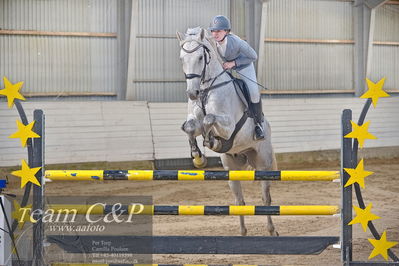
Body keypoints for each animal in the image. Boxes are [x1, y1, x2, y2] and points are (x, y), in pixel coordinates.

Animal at [177, 28, 280, 236]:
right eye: (182, 58)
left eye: (200, 57)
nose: (192, 94)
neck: (207, 89)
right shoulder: (194, 121)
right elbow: (191, 126)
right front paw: (198, 157)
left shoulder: (229, 126)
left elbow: (209, 120)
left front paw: (211, 141)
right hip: (232, 168)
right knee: (239, 201)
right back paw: (242, 232)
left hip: (263, 163)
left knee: (265, 198)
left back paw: (272, 230)